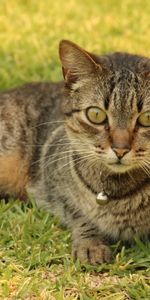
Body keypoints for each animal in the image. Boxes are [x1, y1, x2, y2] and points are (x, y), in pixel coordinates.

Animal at [0, 40, 150, 264]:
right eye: (96, 115)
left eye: (147, 118)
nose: (120, 149)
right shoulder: (53, 187)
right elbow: (81, 216)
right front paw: (90, 243)